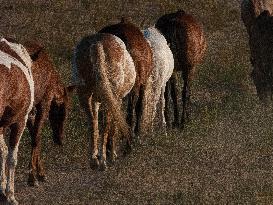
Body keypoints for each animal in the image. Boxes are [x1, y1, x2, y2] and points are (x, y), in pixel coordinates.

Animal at [22, 42, 74, 187]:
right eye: (63, 108)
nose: (60, 140)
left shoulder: (30, 110)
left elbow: (34, 136)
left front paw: (40, 173)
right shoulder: (44, 102)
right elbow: (37, 137)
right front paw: (33, 177)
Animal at [73, 33, 135, 170]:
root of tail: (98, 43)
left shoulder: (96, 101)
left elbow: (96, 123)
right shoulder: (117, 100)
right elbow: (113, 126)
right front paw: (112, 155)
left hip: (84, 94)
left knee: (93, 123)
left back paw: (94, 161)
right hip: (112, 96)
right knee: (106, 124)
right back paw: (103, 162)